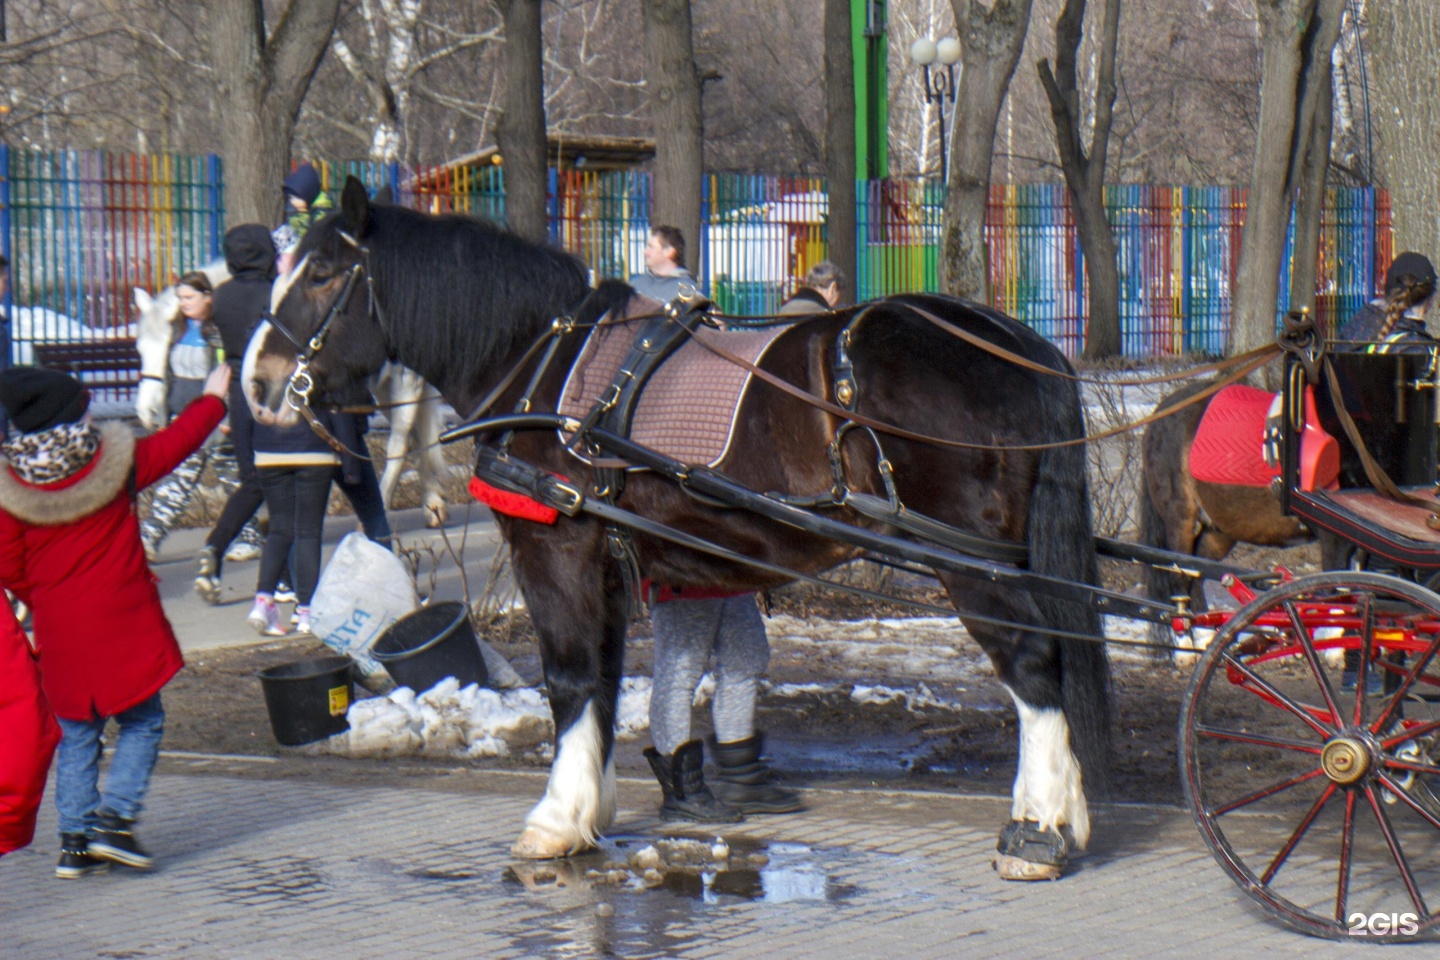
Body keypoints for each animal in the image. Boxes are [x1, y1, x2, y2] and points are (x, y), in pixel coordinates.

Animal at [136, 260, 449, 526]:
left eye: (170, 341)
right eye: (139, 347)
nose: (147, 413)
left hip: (404, 383)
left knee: (399, 443)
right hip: (384, 389)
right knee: (418, 436)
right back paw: (432, 505)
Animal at [244, 176, 1111, 880]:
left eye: (321, 274)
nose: (256, 380)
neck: (544, 366)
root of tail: (1019, 344)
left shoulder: (554, 548)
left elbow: (568, 677)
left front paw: (554, 819)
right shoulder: (602, 558)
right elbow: (599, 679)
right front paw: (589, 810)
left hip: (970, 564)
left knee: (1034, 668)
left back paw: (1037, 828)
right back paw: (1061, 814)